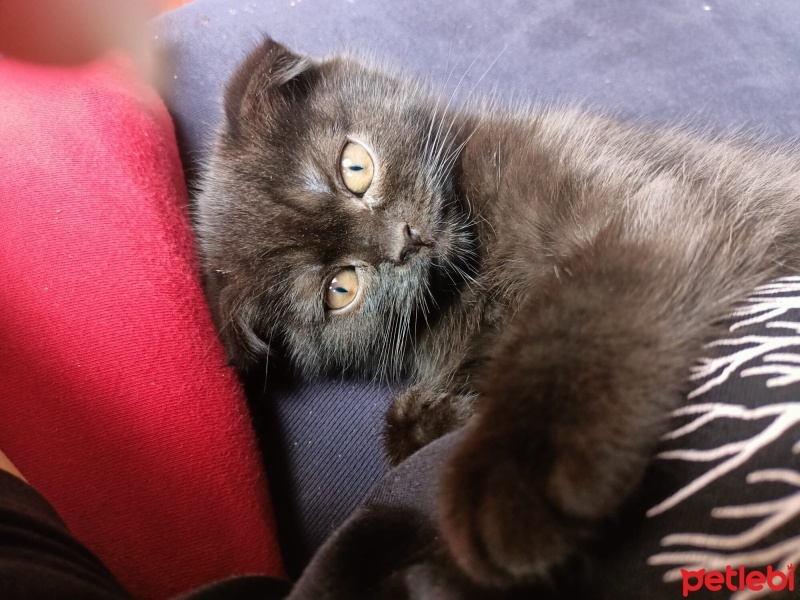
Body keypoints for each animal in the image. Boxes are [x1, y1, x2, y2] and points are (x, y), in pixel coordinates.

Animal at [192, 38, 800, 592]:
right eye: (341, 289)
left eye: (355, 168)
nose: (404, 240)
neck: (477, 269)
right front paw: (439, 414)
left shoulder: (643, 206)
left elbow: (574, 321)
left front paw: (519, 472)